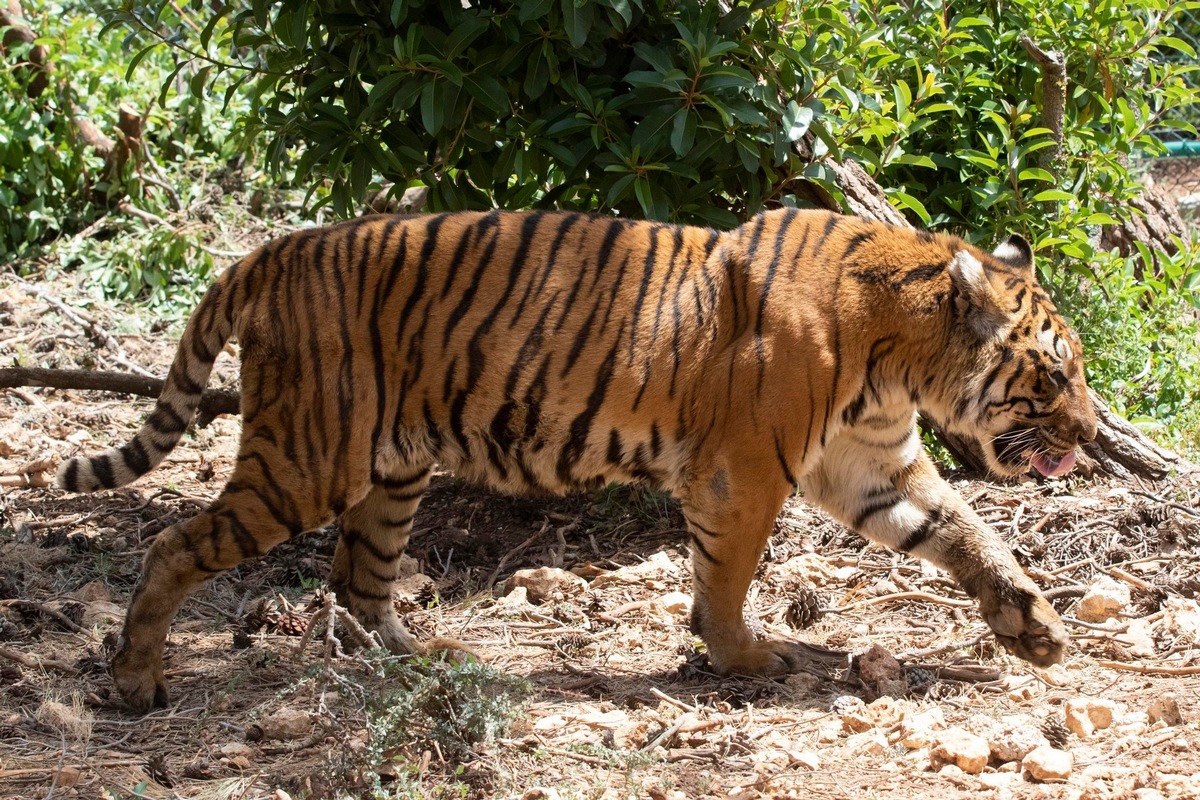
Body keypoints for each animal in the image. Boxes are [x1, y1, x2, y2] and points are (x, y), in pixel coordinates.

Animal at [56, 208, 1099, 714]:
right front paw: (745, 656)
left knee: (358, 578)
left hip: (392, 473)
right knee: (176, 546)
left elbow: (964, 531)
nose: (1092, 437)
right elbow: (728, 576)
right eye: (1055, 374)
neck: (901, 352)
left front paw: (1035, 627)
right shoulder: (745, 472)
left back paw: (422, 660)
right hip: (306, 460)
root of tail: (268, 252)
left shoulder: (869, 464)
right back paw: (137, 682)